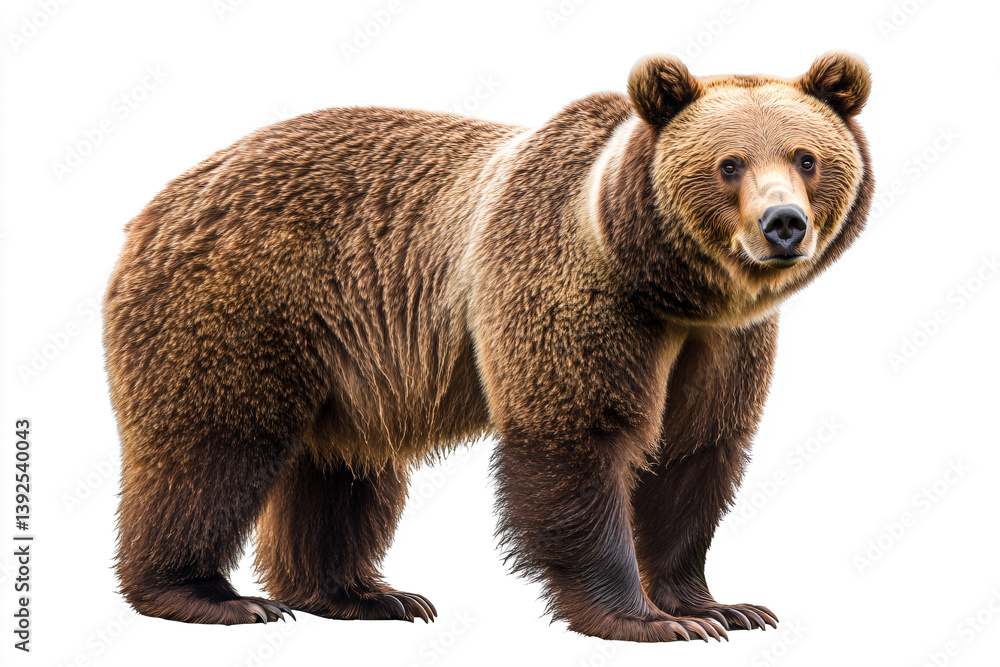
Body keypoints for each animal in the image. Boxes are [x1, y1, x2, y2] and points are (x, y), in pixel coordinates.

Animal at [103, 51, 873, 642]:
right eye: (729, 164)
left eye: (807, 158)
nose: (783, 224)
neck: (669, 288)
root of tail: (159, 200)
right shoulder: (568, 285)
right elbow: (576, 436)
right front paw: (646, 619)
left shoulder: (723, 343)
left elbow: (695, 452)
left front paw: (720, 606)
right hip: (241, 302)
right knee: (212, 445)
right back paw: (211, 595)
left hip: (347, 358)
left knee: (344, 469)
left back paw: (366, 594)